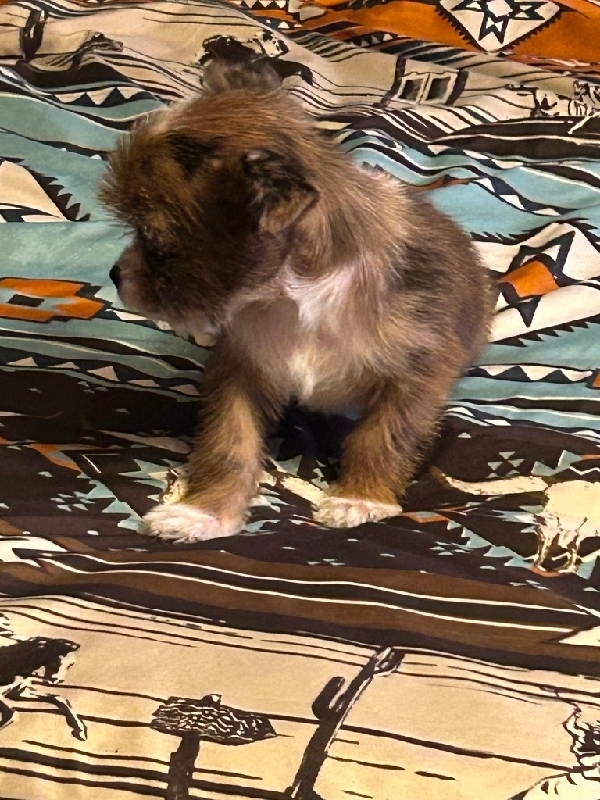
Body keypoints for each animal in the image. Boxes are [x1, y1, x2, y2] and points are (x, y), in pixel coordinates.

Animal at [101, 58, 494, 542]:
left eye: (155, 238)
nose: (114, 275)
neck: (294, 300)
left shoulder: (418, 373)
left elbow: (382, 437)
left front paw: (359, 498)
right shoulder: (241, 367)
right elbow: (228, 442)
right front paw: (204, 512)